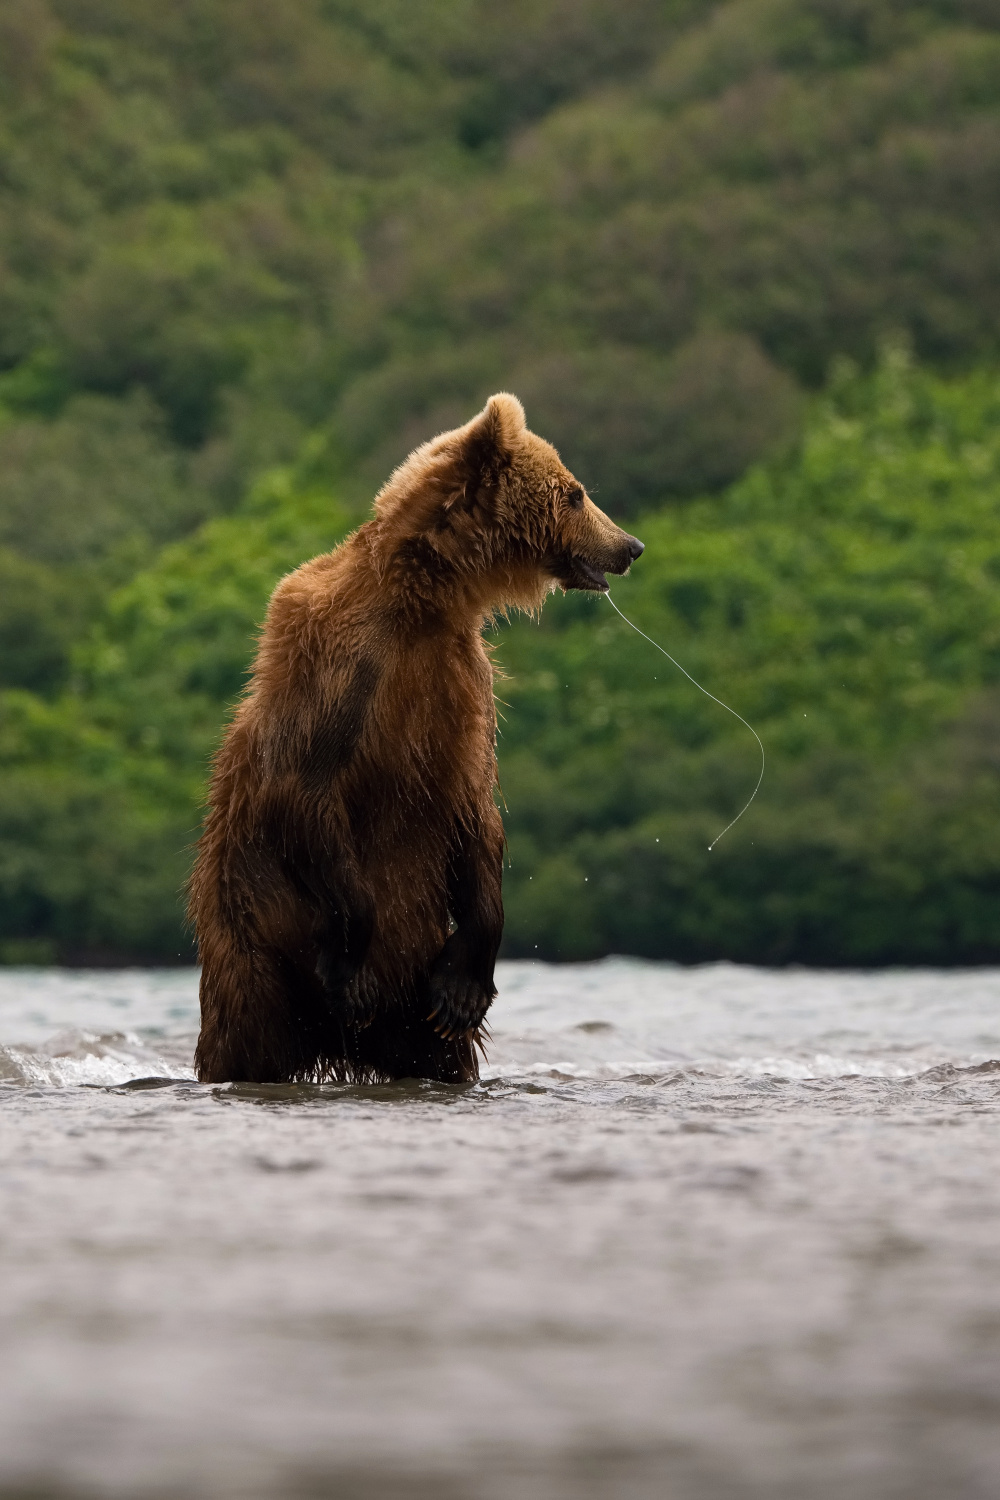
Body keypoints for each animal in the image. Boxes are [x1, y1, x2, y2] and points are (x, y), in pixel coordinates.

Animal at [191, 393, 644, 1086]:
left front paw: (463, 988)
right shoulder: (341, 665)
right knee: (248, 1033)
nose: (631, 544)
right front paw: (349, 965)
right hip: (253, 935)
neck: (424, 599)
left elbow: (475, 808)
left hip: (411, 998)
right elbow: (306, 787)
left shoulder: (463, 685)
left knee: (436, 1049)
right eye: (575, 493)